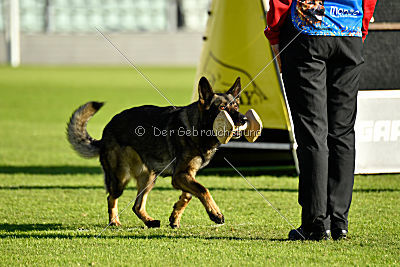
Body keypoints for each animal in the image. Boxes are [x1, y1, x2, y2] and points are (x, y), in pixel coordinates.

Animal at [66, 76, 247, 229]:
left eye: (236, 106)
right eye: (222, 108)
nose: (244, 119)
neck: (199, 127)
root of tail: (105, 132)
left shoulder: (186, 175)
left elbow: (188, 195)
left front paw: (175, 217)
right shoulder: (180, 175)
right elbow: (203, 190)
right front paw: (215, 214)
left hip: (149, 177)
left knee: (137, 206)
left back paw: (150, 221)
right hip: (121, 178)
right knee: (111, 197)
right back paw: (114, 221)